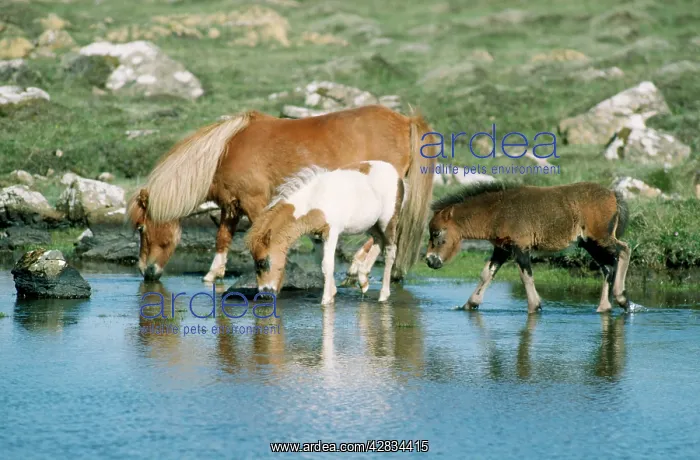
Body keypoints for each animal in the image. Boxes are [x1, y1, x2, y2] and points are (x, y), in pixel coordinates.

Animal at [126, 105, 437, 283]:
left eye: (141, 227)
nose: (146, 272)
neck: (224, 152)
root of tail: (405, 121)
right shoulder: (232, 205)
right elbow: (222, 238)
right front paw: (213, 273)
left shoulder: (255, 202)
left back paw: (359, 268)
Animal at [246, 160, 405, 305]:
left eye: (262, 262)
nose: (264, 294)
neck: (313, 201)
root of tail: (397, 175)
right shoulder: (317, 237)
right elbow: (321, 264)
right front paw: (333, 292)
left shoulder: (332, 233)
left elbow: (327, 264)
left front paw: (326, 300)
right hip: (372, 224)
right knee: (379, 241)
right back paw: (363, 280)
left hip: (387, 221)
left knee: (390, 251)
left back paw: (383, 295)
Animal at [424, 181, 631, 314]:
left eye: (436, 233)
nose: (430, 260)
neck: (498, 212)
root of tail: (613, 195)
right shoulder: (502, 249)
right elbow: (486, 274)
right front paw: (469, 304)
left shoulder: (520, 247)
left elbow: (526, 276)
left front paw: (535, 306)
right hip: (589, 244)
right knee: (608, 266)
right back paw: (606, 306)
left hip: (600, 238)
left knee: (623, 250)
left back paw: (620, 299)